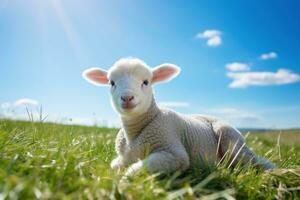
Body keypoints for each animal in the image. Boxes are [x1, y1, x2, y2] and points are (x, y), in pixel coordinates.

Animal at [82, 57, 274, 176]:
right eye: (111, 83)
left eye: (146, 82)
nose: (127, 98)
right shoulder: (124, 156)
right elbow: (114, 165)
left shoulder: (174, 154)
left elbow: (142, 167)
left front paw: (124, 180)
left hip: (233, 141)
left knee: (250, 164)